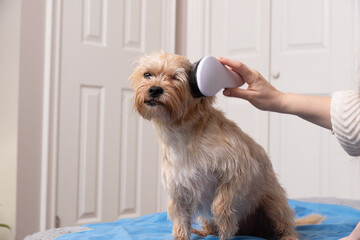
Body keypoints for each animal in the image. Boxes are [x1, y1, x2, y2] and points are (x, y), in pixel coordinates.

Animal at [130, 51, 324, 239]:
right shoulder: (179, 190)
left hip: (274, 204)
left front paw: (225, 227)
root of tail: (252, 231)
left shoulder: (239, 170)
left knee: (284, 226)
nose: (155, 89)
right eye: (147, 74)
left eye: (175, 77)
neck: (181, 131)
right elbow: (181, 222)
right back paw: (204, 232)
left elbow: (221, 206)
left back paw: (287, 236)